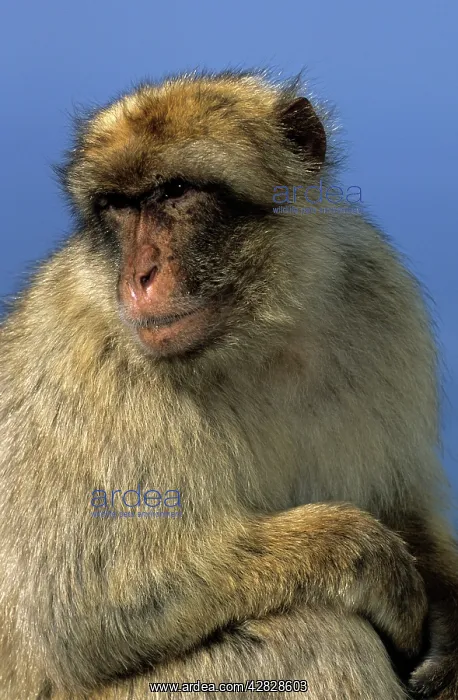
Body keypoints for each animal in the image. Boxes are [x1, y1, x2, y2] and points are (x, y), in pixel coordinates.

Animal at [0, 69, 457, 700]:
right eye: (117, 206)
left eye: (173, 193)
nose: (137, 279)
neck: (253, 338)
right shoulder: (87, 360)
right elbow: (83, 608)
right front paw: (371, 560)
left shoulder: (375, 294)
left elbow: (403, 498)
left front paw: (450, 620)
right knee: (314, 633)